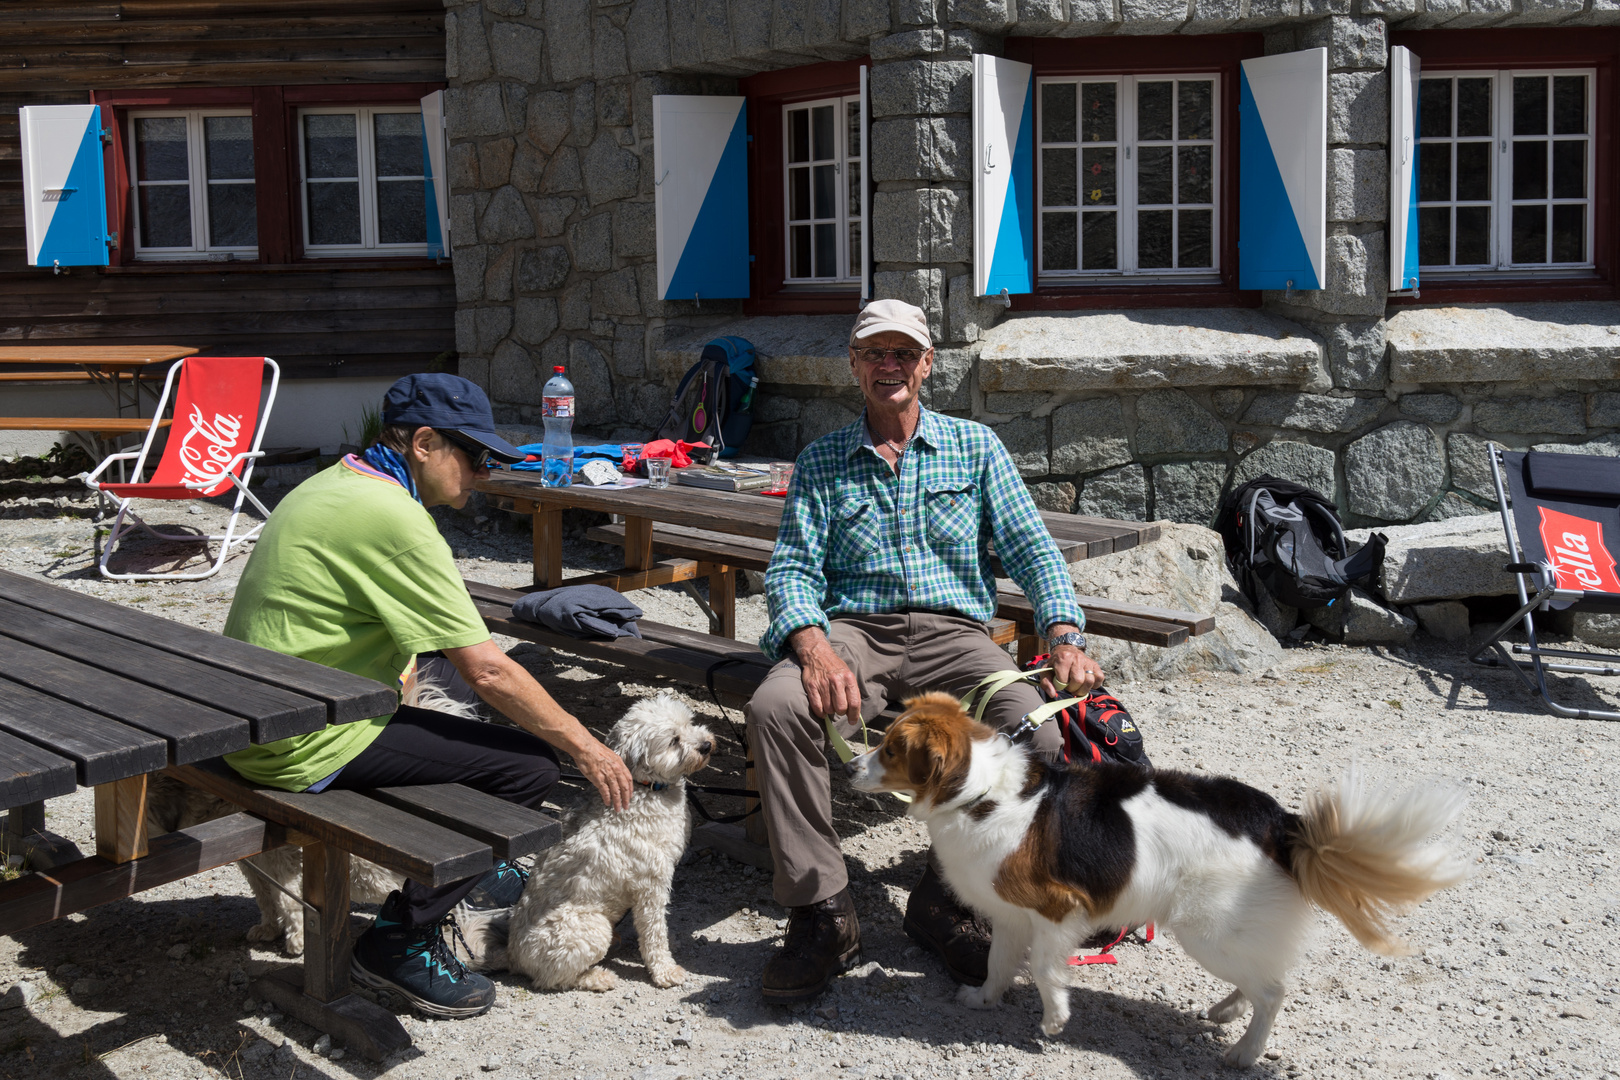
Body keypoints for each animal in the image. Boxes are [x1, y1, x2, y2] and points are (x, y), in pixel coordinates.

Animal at [466, 696, 712, 990]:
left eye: (689, 723)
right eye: (674, 740)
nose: (706, 745)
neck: (646, 787)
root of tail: (513, 955)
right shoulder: (651, 886)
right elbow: (654, 933)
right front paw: (665, 970)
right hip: (593, 927)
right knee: (552, 979)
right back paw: (597, 976)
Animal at [848, 696, 1470, 1068]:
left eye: (891, 749)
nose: (851, 765)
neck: (980, 793)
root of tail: (1281, 823)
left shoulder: (1059, 912)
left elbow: (1045, 971)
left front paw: (1054, 1020)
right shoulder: (1010, 916)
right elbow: (1000, 963)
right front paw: (983, 999)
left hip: (1207, 932)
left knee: (1273, 991)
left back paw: (1245, 1052)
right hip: (1227, 936)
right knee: (1261, 976)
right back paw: (1227, 1012)